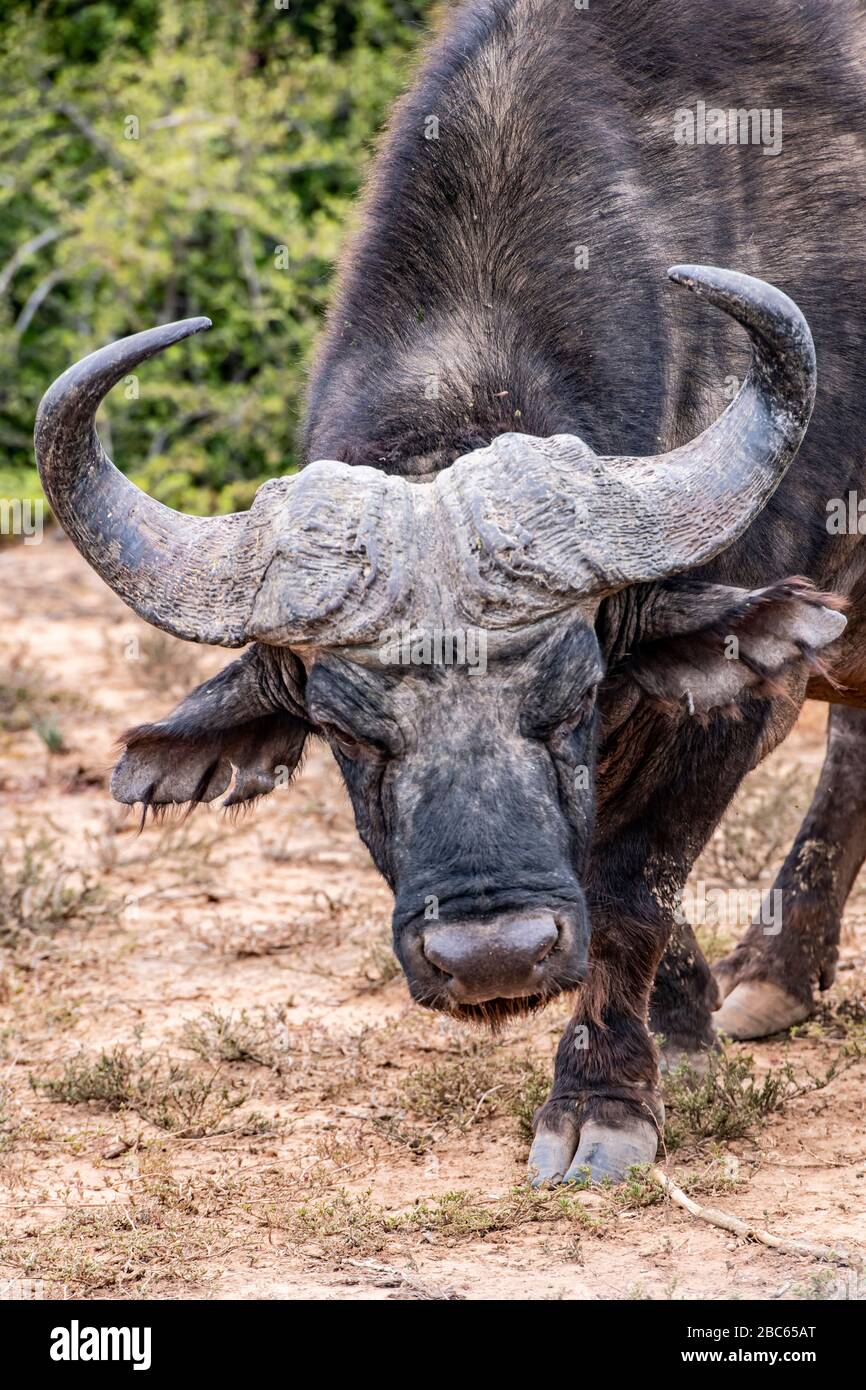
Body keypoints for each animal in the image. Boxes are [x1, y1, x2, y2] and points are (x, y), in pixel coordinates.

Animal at [30, 0, 866, 1189]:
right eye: (345, 733)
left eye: (576, 694)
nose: (492, 955)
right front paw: (685, 1025)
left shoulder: (738, 697)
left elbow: (628, 887)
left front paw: (603, 1102)